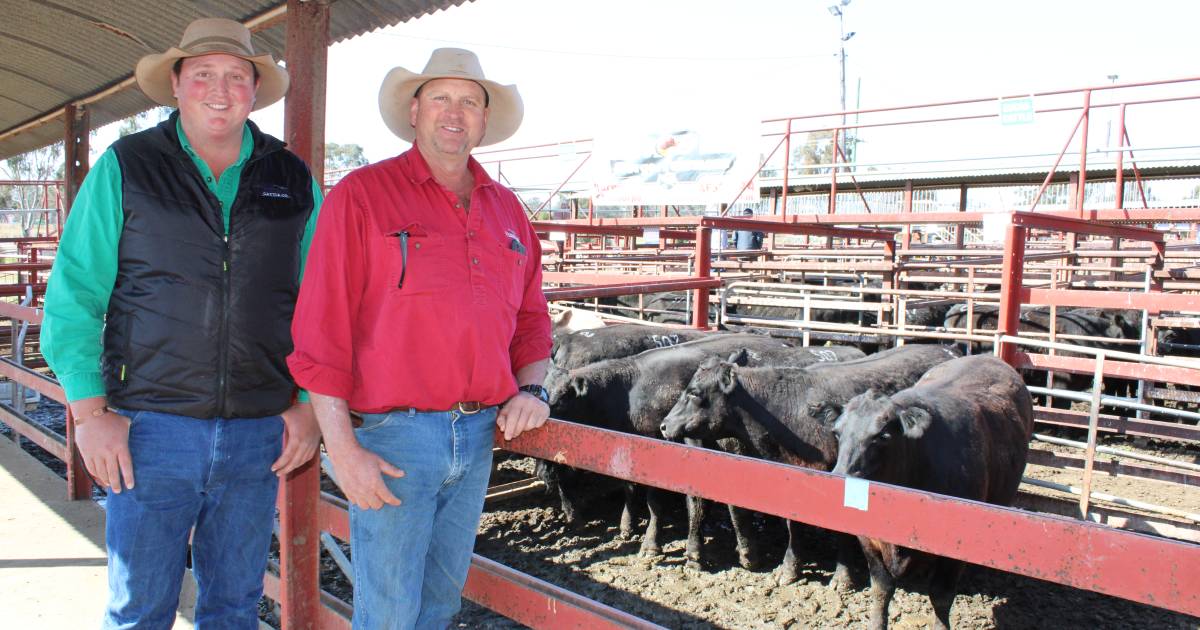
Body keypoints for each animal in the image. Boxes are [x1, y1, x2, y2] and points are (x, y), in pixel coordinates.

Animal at [544, 333, 864, 564]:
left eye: (560, 399)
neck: (629, 389)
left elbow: (663, 500)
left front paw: (655, 544)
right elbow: (633, 488)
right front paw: (628, 526)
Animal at [835, 352, 1032, 628]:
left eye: (883, 436)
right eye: (837, 432)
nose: (839, 476)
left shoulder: (952, 547)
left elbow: (940, 596)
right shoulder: (868, 539)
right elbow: (881, 590)